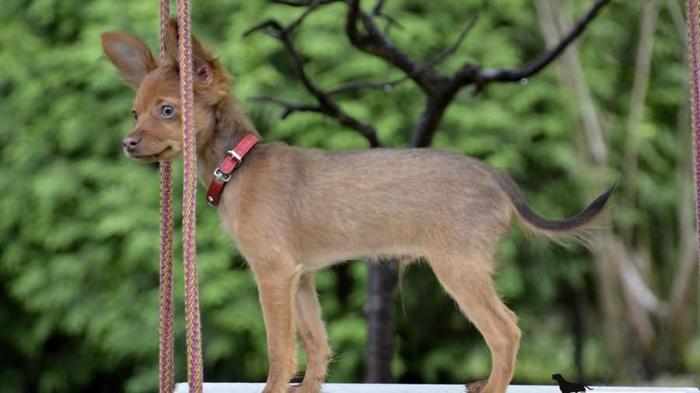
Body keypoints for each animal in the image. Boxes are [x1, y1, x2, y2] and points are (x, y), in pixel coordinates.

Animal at [102, 20, 612, 392]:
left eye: (168, 111)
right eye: (134, 113)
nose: (127, 143)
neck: (238, 162)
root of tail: (495, 175)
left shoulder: (273, 275)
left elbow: (280, 351)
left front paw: (275, 389)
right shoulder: (301, 276)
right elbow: (315, 343)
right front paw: (308, 390)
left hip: (458, 269)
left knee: (506, 331)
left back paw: (492, 388)